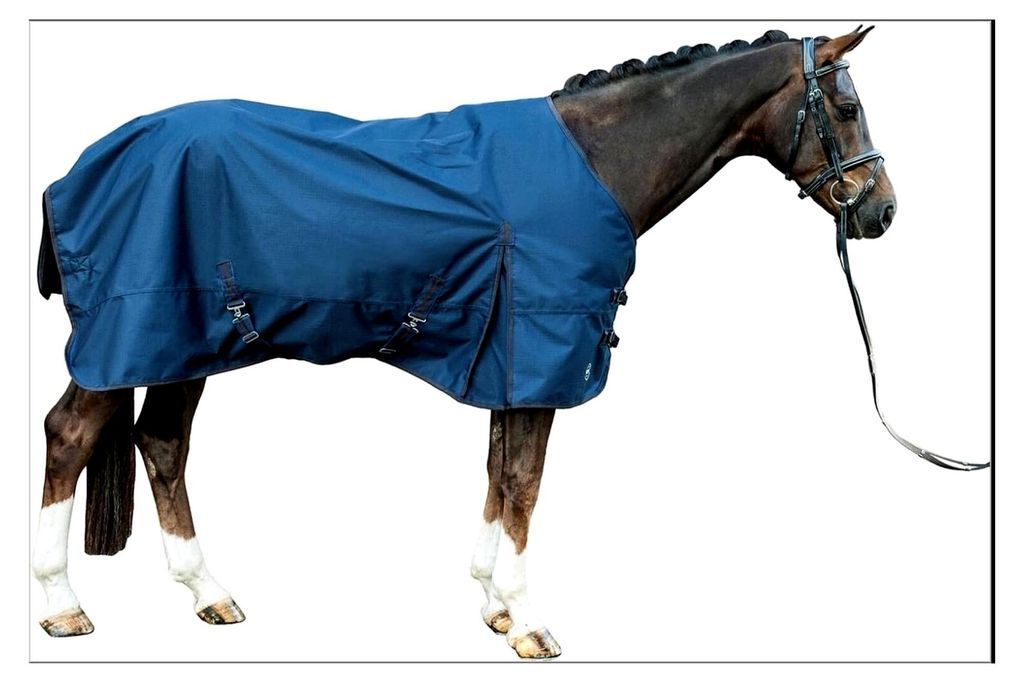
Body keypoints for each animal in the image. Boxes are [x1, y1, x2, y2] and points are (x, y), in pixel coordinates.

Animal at [33, 27, 903, 659]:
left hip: (182, 344)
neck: (597, 162)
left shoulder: (508, 362)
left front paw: (492, 603)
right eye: (847, 107)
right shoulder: (542, 354)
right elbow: (525, 482)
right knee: (69, 434)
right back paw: (62, 605)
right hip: (133, 334)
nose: (882, 211)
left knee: (161, 442)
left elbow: (498, 474)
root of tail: (81, 168)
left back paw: (209, 592)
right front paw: (529, 622)